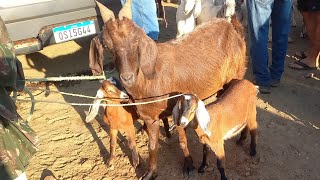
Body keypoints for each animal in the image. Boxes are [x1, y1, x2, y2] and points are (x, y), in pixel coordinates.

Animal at [89, 16, 246, 179]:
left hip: (236, 75)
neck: (148, 80)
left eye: (136, 41)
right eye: (107, 45)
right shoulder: (150, 116)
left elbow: (180, 141)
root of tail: (231, 26)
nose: (127, 77)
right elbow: (152, 144)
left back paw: (242, 138)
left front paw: (188, 165)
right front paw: (150, 172)